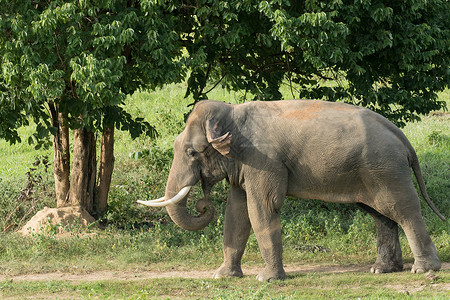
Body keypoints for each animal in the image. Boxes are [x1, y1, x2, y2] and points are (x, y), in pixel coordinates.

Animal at [139, 99, 444, 282]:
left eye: (192, 152)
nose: (202, 204)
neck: (233, 113)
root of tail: (401, 135)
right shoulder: (244, 164)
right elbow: (236, 214)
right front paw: (223, 276)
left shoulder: (264, 161)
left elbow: (261, 209)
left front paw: (267, 279)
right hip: (370, 172)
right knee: (381, 214)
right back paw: (382, 269)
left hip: (386, 169)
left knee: (403, 210)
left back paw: (424, 269)